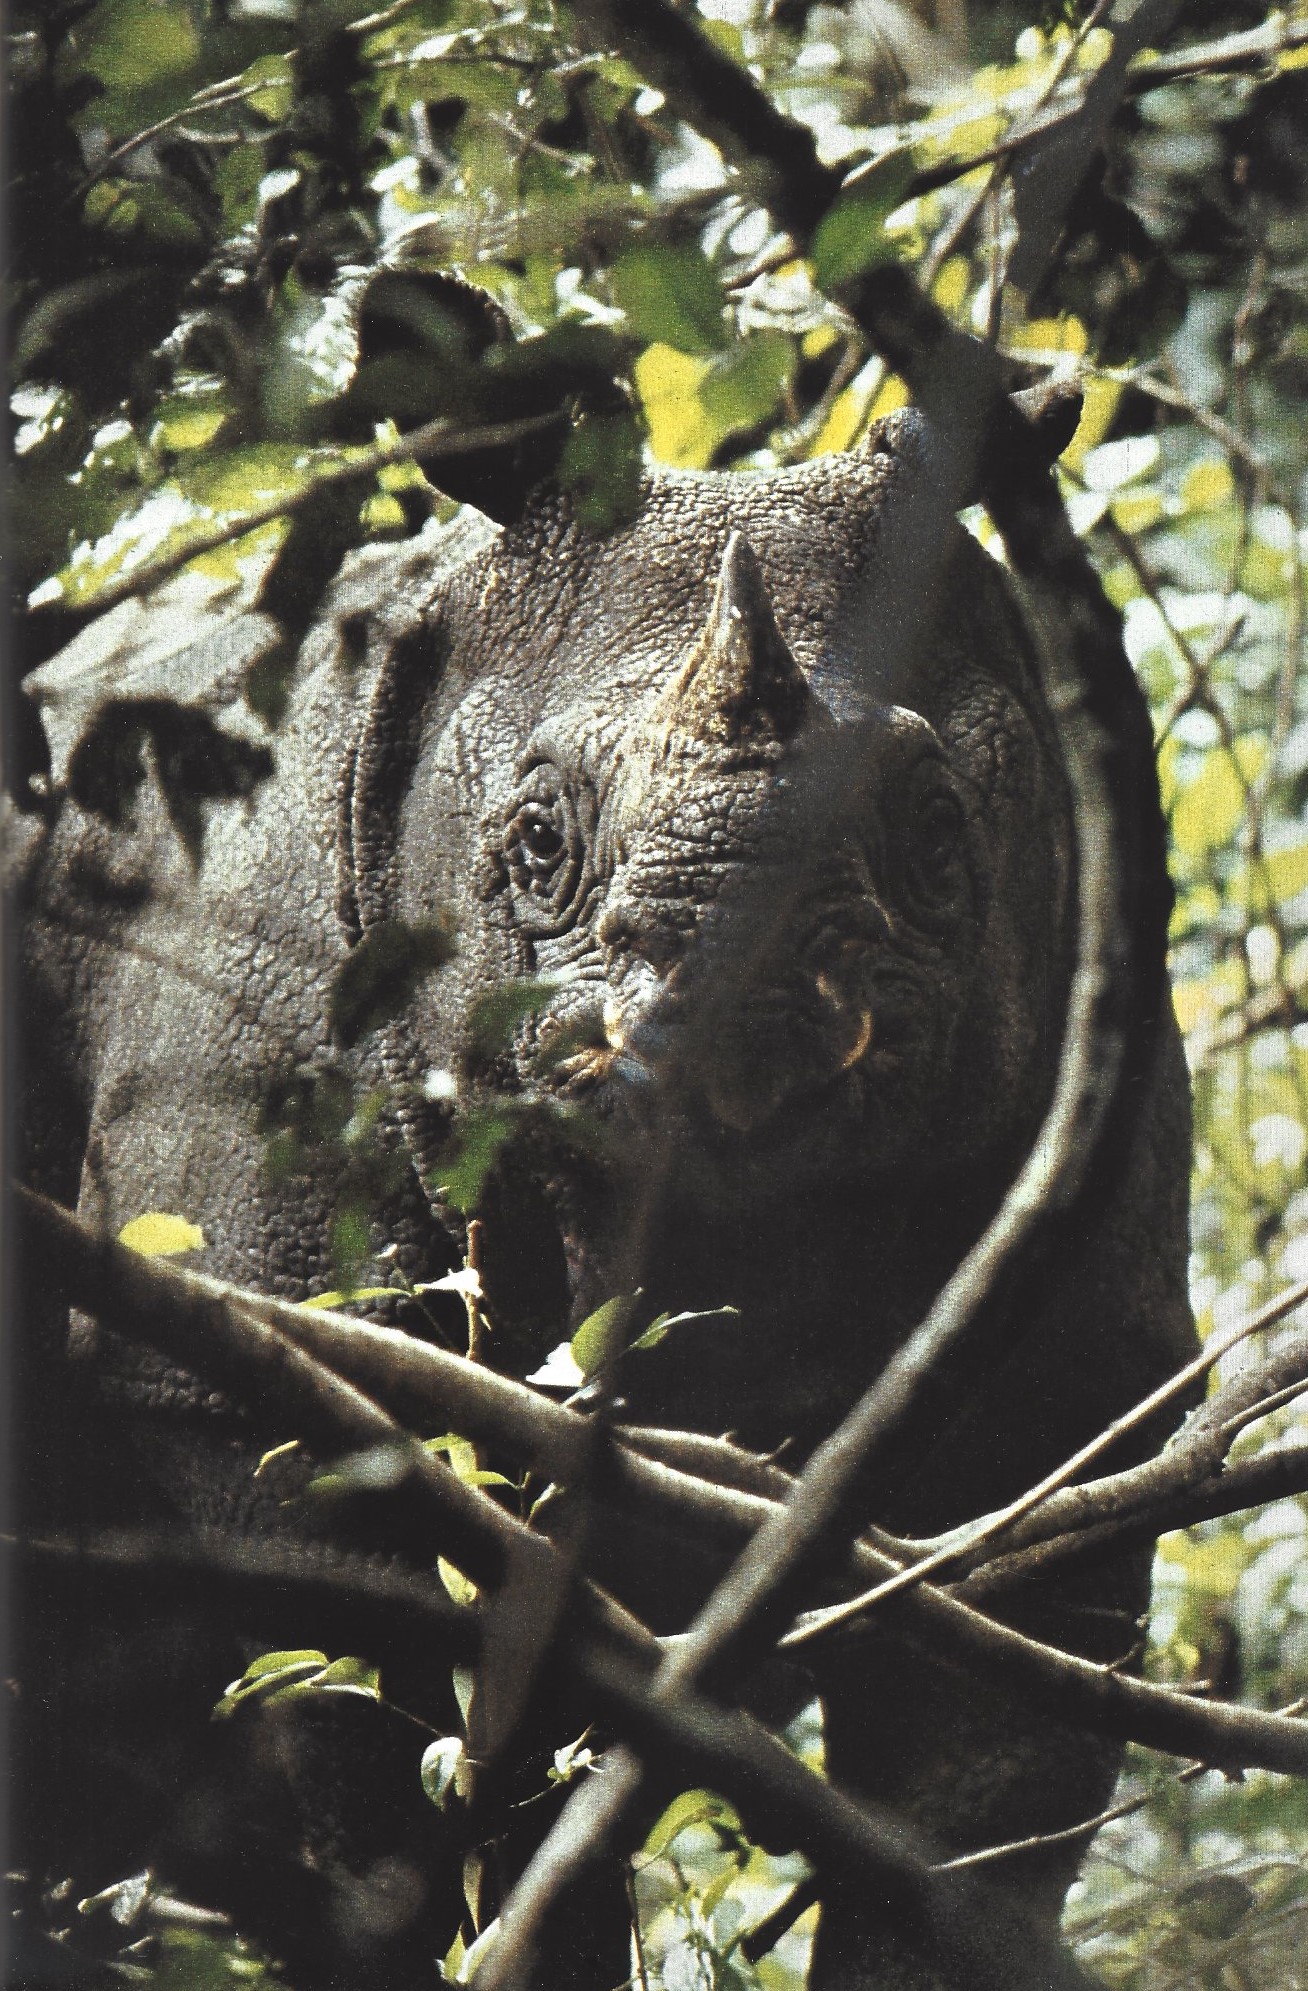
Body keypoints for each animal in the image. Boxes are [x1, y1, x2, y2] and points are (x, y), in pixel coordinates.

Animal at [12, 411, 1196, 1990]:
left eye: (941, 829)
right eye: (534, 842)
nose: (726, 1008)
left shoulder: (1071, 1370)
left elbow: (974, 1815)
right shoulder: (237, 1339)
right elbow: (390, 1731)